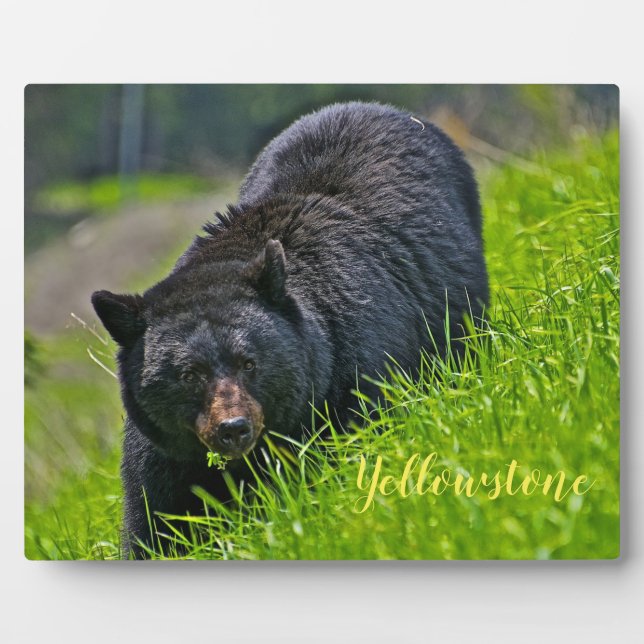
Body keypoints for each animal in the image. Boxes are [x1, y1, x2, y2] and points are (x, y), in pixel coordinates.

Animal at [91, 101, 489, 558]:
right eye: (189, 374)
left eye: (249, 363)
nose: (233, 428)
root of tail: (375, 107)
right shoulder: (165, 453)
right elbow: (156, 520)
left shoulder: (352, 377)